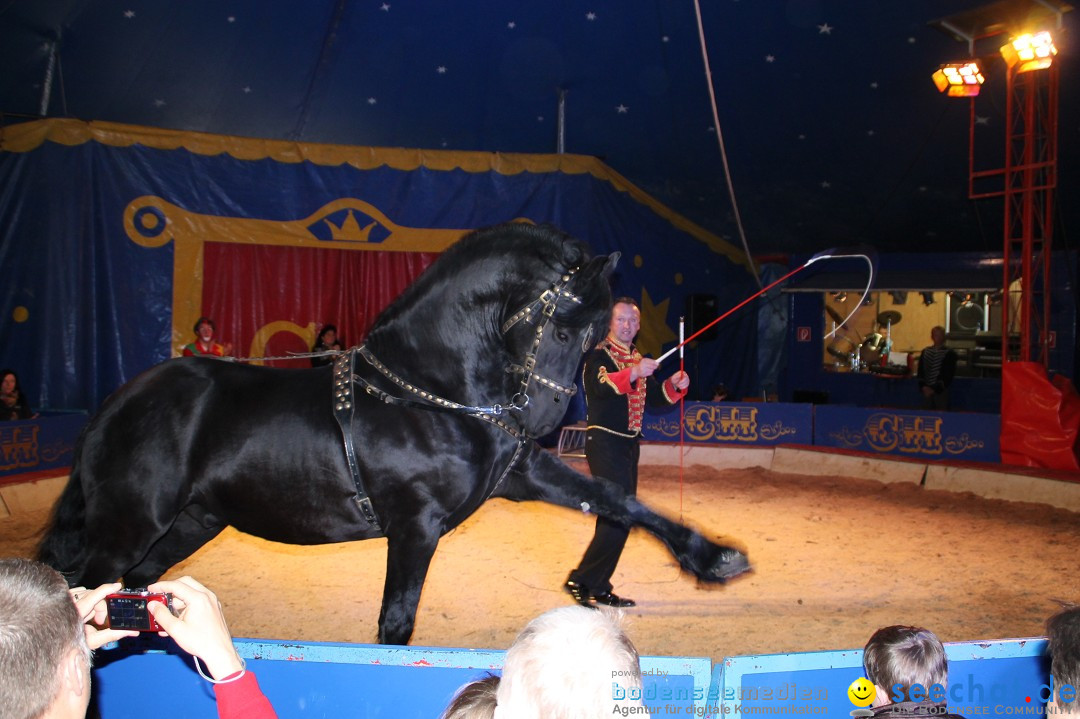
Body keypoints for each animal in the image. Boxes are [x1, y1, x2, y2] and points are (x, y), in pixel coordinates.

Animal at [42, 221, 751, 639]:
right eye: (566, 325)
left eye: (595, 334)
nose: (544, 422)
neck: (429, 391)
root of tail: (116, 404)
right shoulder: (415, 527)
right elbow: (395, 626)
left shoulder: (520, 474)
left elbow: (618, 500)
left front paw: (713, 556)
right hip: (127, 527)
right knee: (84, 597)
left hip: (186, 525)